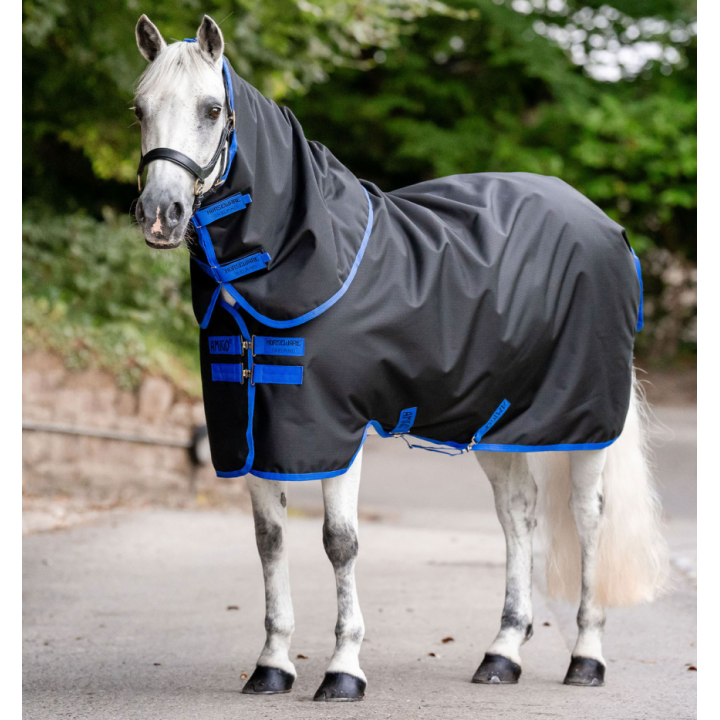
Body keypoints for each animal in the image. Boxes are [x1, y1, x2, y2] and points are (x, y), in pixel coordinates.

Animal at [131, 14, 669, 702]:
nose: (160, 214)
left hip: (586, 420)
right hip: (495, 419)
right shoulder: (252, 430)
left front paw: (343, 670)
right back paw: (501, 653)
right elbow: (269, 541)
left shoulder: (335, 429)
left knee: (589, 517)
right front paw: (272, 665)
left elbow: (340, 542)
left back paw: (587, 657)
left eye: (211, 108)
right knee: (517, 514)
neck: (300, 257)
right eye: (139, 108)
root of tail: (608, 227)